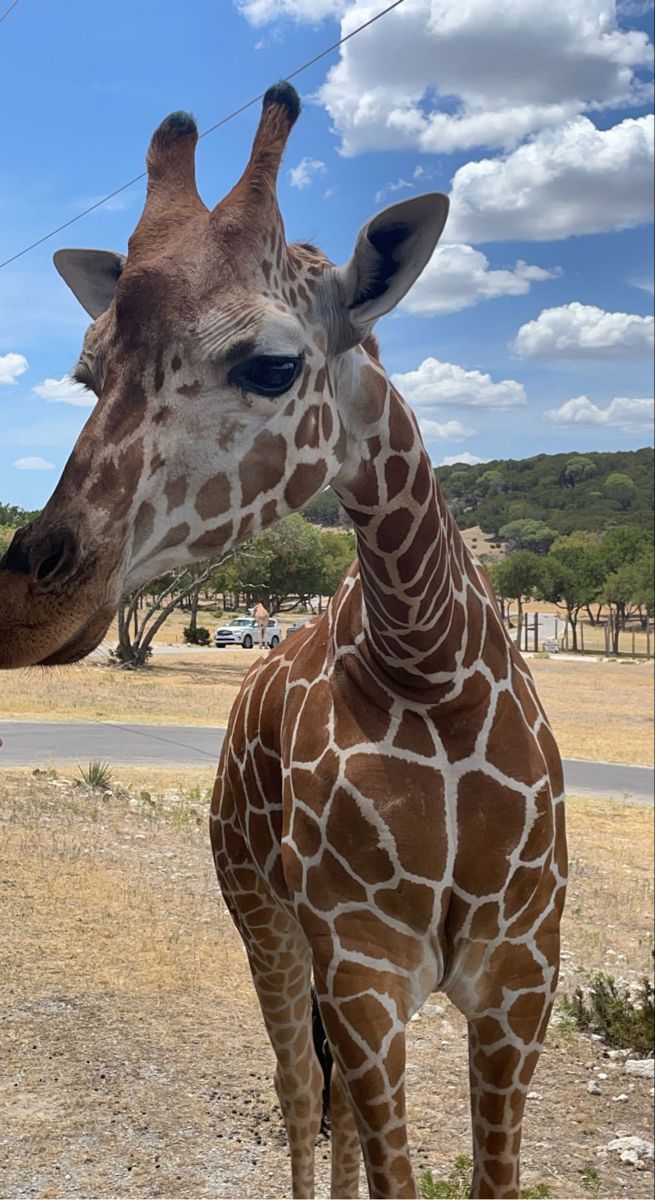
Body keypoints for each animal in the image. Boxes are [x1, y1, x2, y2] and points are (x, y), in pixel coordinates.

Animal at [0, 84, 563, 1200]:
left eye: (271, 366)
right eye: (85, 374)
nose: (24, 606)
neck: (430, 666)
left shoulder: (522, 983)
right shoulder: (366, 969)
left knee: (328, 1102)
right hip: (260, 913)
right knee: (299, 1090)